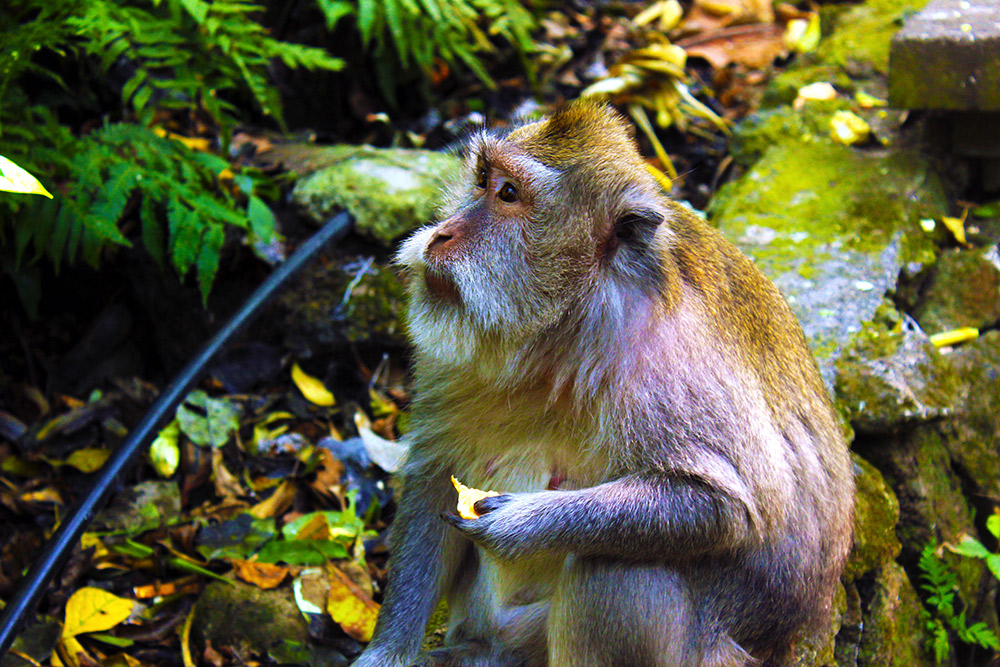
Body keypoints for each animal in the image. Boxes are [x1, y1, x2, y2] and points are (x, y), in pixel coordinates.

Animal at [350, 100, 852, 667]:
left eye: (508, 194)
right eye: (482, 181)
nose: (442, 234)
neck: (567, 329)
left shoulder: (667, 370)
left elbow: (726, 508)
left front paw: (519, 524)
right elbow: (435, 475)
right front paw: (386, 653)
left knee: (611, 571)